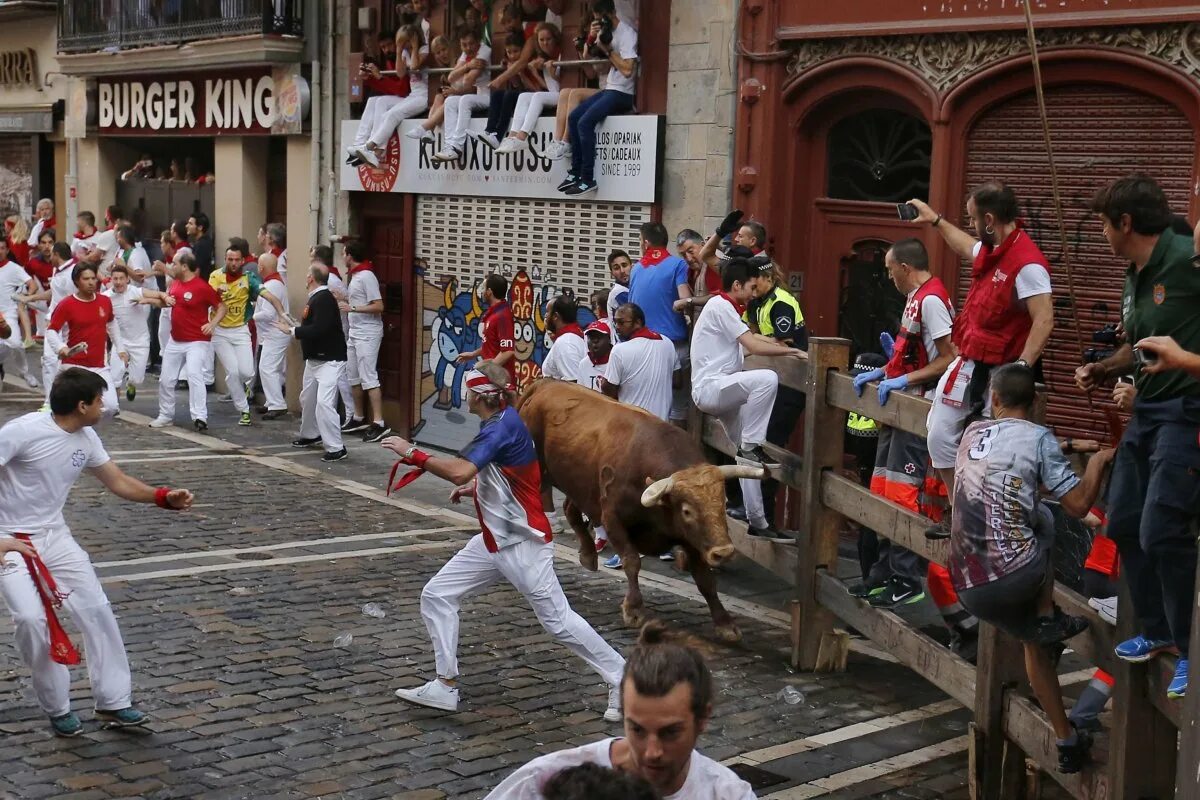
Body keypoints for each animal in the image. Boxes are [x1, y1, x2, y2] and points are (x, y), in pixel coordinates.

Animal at [518, 376, 763, 642]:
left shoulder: (691, 538)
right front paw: (634, 609)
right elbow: (632, 561)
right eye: (687, 511)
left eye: (723, 503)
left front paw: (725, 623)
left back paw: (588, 555)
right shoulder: (612, 518)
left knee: (571, 508)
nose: (724, 552)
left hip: (580, 482)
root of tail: (546, 384)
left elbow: (705, 579)